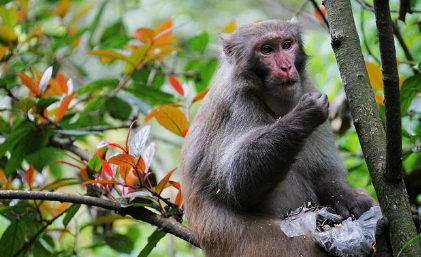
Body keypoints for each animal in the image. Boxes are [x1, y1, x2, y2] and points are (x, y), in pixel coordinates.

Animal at [179, 20, 372, 256]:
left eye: (287, 45)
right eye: (266, 50)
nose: (286, 67)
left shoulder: (305, 87)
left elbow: (323, 174)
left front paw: (350, 200)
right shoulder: (236, 105)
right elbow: (235, 184)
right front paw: (304, 114)